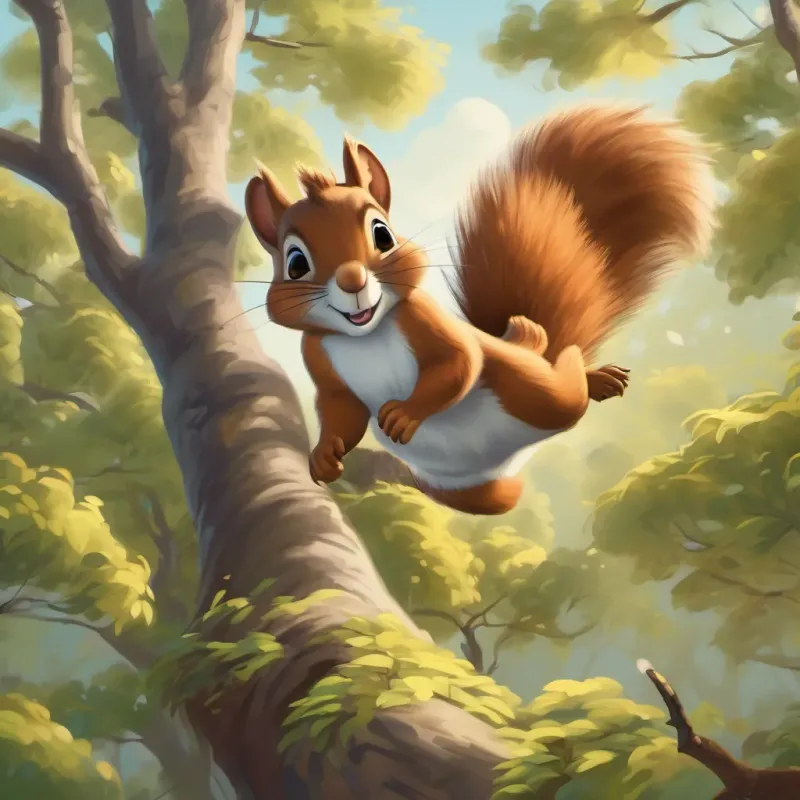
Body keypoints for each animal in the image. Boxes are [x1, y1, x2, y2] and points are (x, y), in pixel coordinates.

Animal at [244, 103, 714, 516]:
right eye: (295, 263)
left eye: (382, 235)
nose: (353, 281)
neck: (365, 336)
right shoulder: (318, 356)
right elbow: (342, 412)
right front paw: (324, 456)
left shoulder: (427, 321)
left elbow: (459, 362)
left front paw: (405, 413)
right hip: (468, 489)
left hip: (535, 392)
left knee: (563, 381)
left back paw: (552, 349)